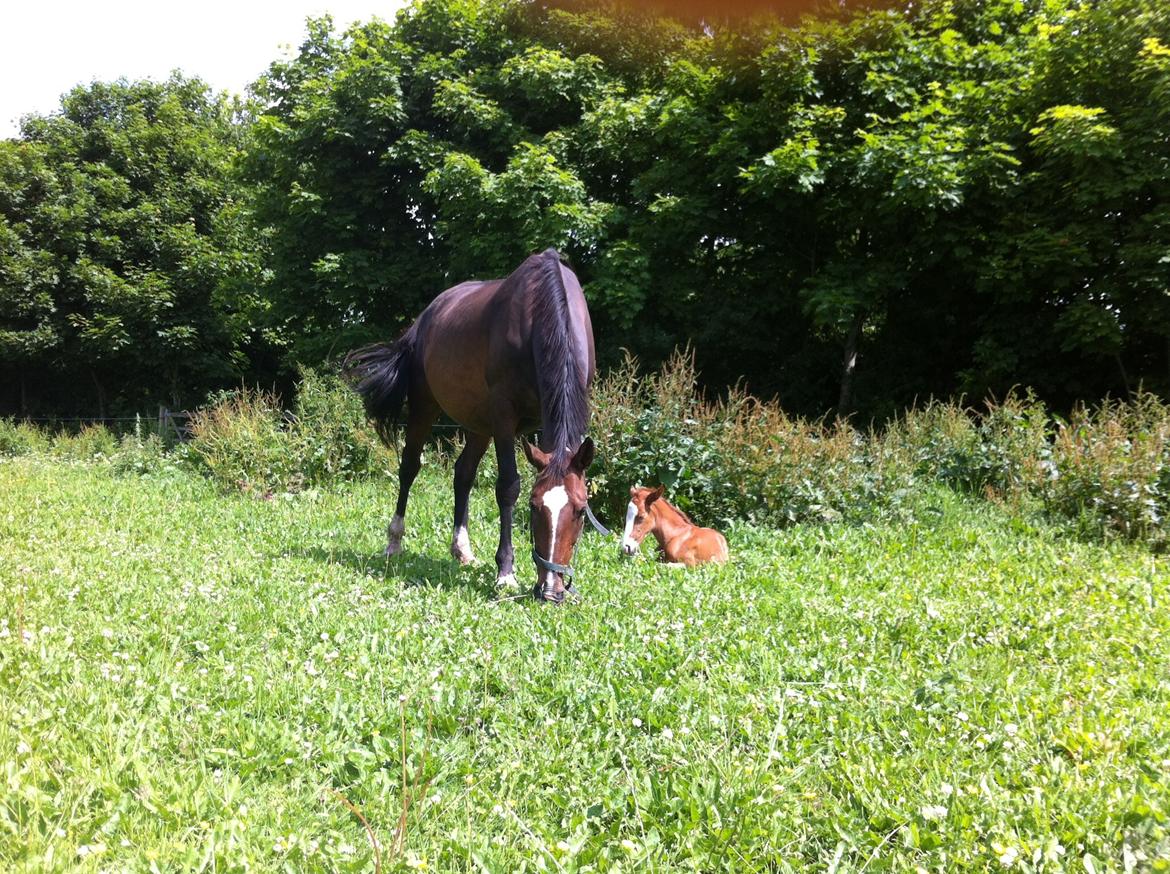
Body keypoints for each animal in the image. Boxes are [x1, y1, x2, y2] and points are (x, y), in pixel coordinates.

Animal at [339, 249, 594, 599]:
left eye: (581, 510)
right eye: (533, 507)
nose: (551, 590)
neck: (541, 312)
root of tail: (423, 320)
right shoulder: (504, 416)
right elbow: (508, 486)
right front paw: (506, 571)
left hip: (479, 424)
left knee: (463, 473)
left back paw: (461, 550)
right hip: (426, 408)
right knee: (409, 467)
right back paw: (394, 541)